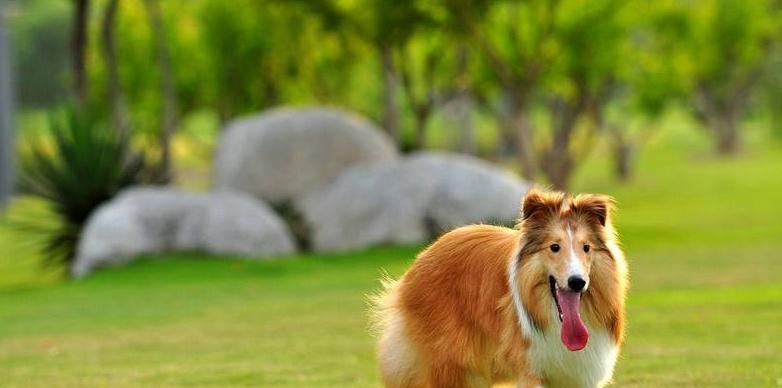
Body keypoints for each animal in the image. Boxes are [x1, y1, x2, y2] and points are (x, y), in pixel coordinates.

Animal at [372, 189, 632, 386]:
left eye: (586, 248)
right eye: (554, 247)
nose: (577, 282)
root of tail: (424, 254)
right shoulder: (531, 370)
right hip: (452, 366)